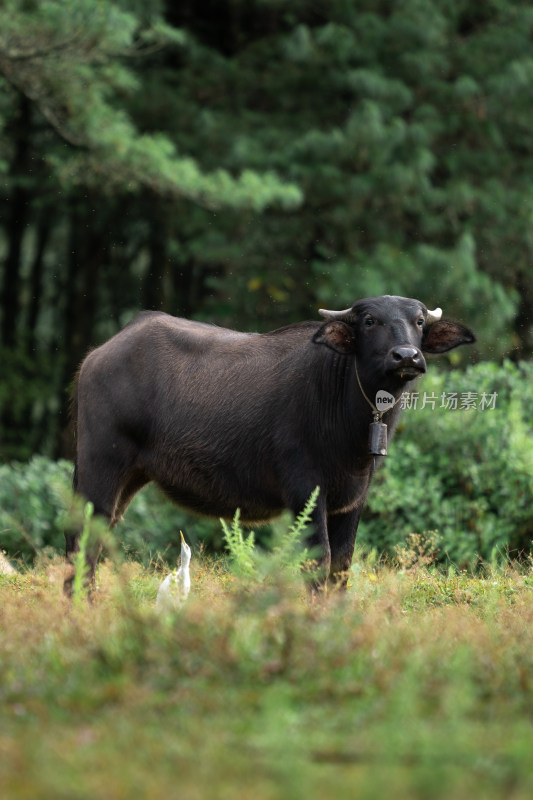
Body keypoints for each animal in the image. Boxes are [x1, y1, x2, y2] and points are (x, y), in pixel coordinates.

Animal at [67, 296, 474, 592]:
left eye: (418, 321)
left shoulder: (352, 498)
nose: (406, 356)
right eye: (370, 321)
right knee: (82, 539)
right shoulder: (305, 492)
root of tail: (95, 356)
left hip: (130, 476)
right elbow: (319, 562)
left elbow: (342, 566)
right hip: (99, 465)